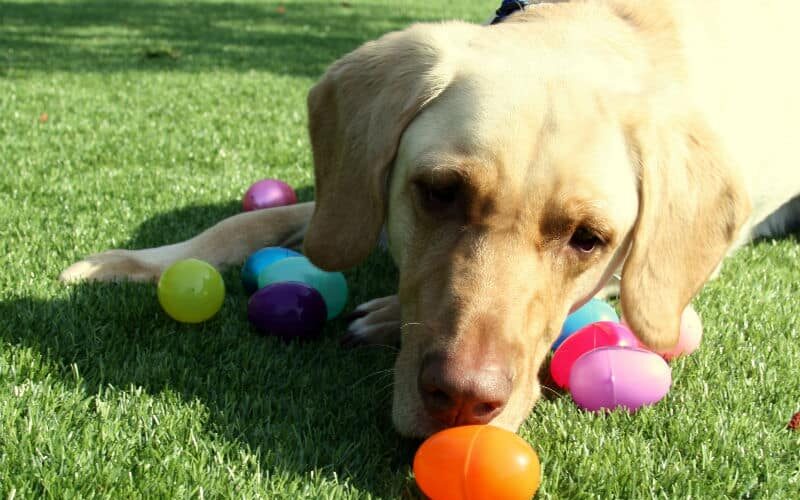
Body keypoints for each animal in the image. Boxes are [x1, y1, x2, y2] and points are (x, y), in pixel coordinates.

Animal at [64, 0, 800, 438]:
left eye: (589, 240)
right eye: (440, 192)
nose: (463, 402)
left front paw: (388, 314)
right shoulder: (358, 197)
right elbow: (249, 225)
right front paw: (135, 263)